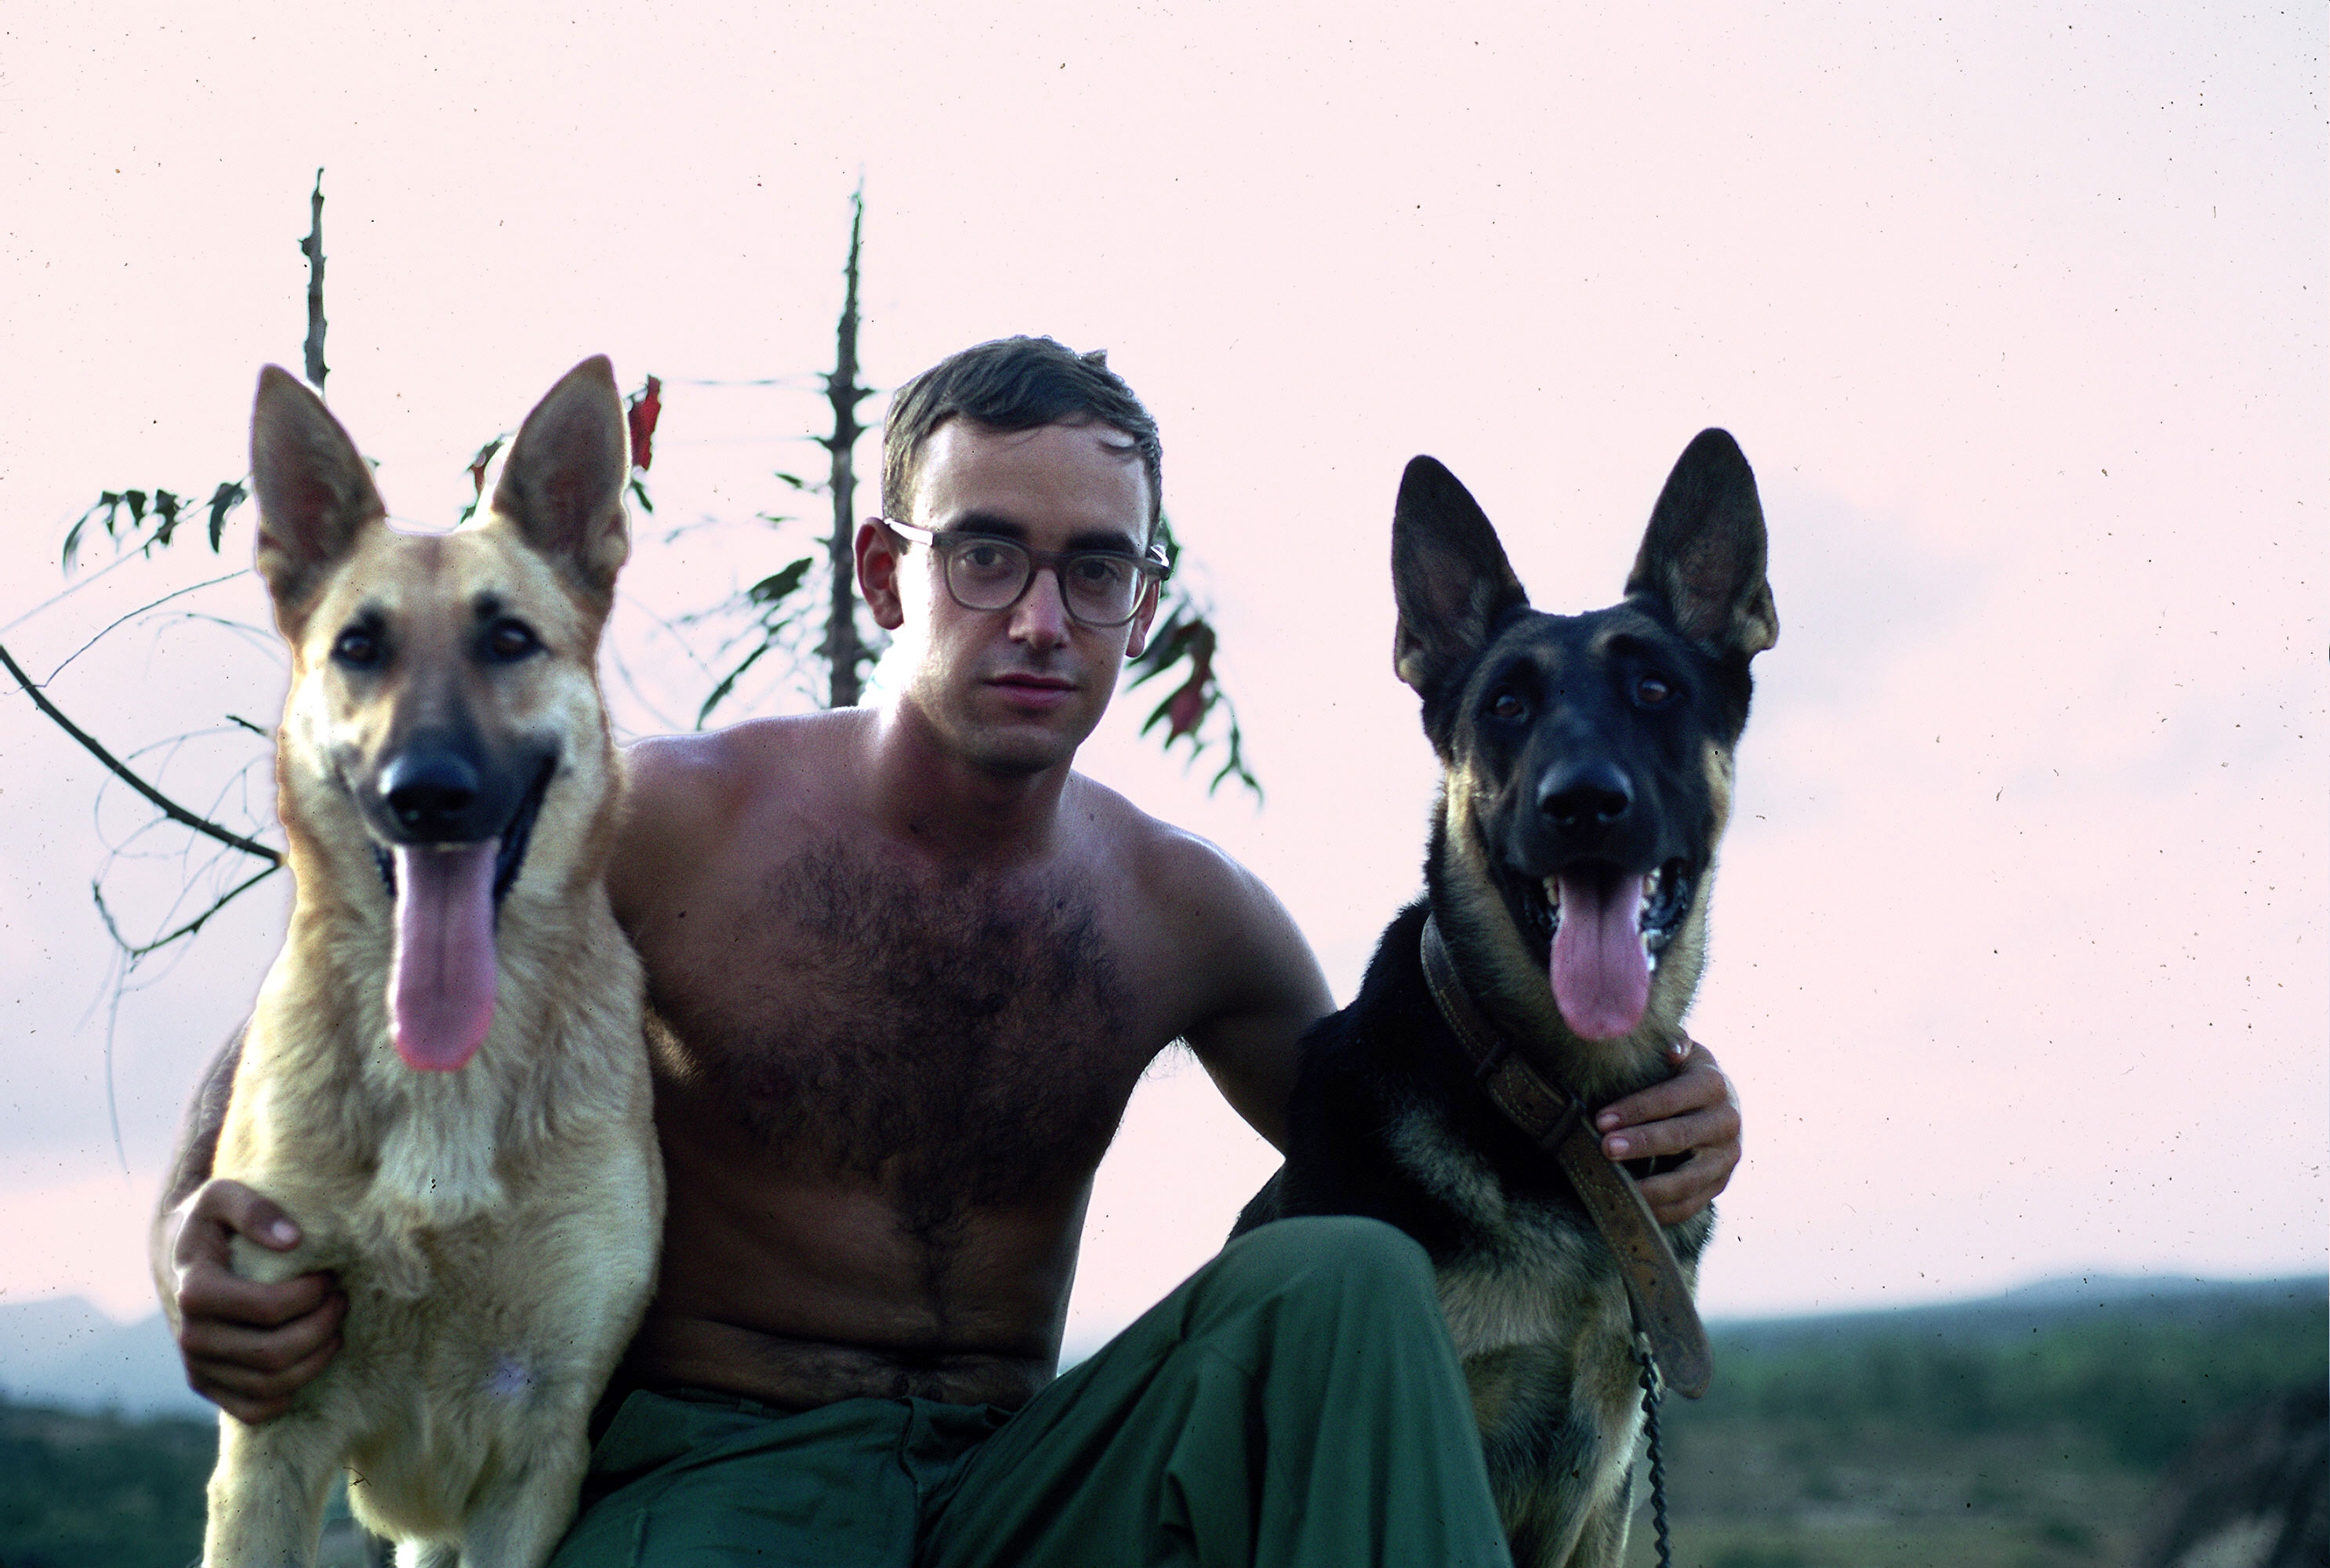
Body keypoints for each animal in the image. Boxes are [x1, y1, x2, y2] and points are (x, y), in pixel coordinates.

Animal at [203, 358, 663, 1567]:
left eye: (509, 641)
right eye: (359, 648)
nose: (428, 794)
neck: (443, 1082)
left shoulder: (538, 1452)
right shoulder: (272, 1442)